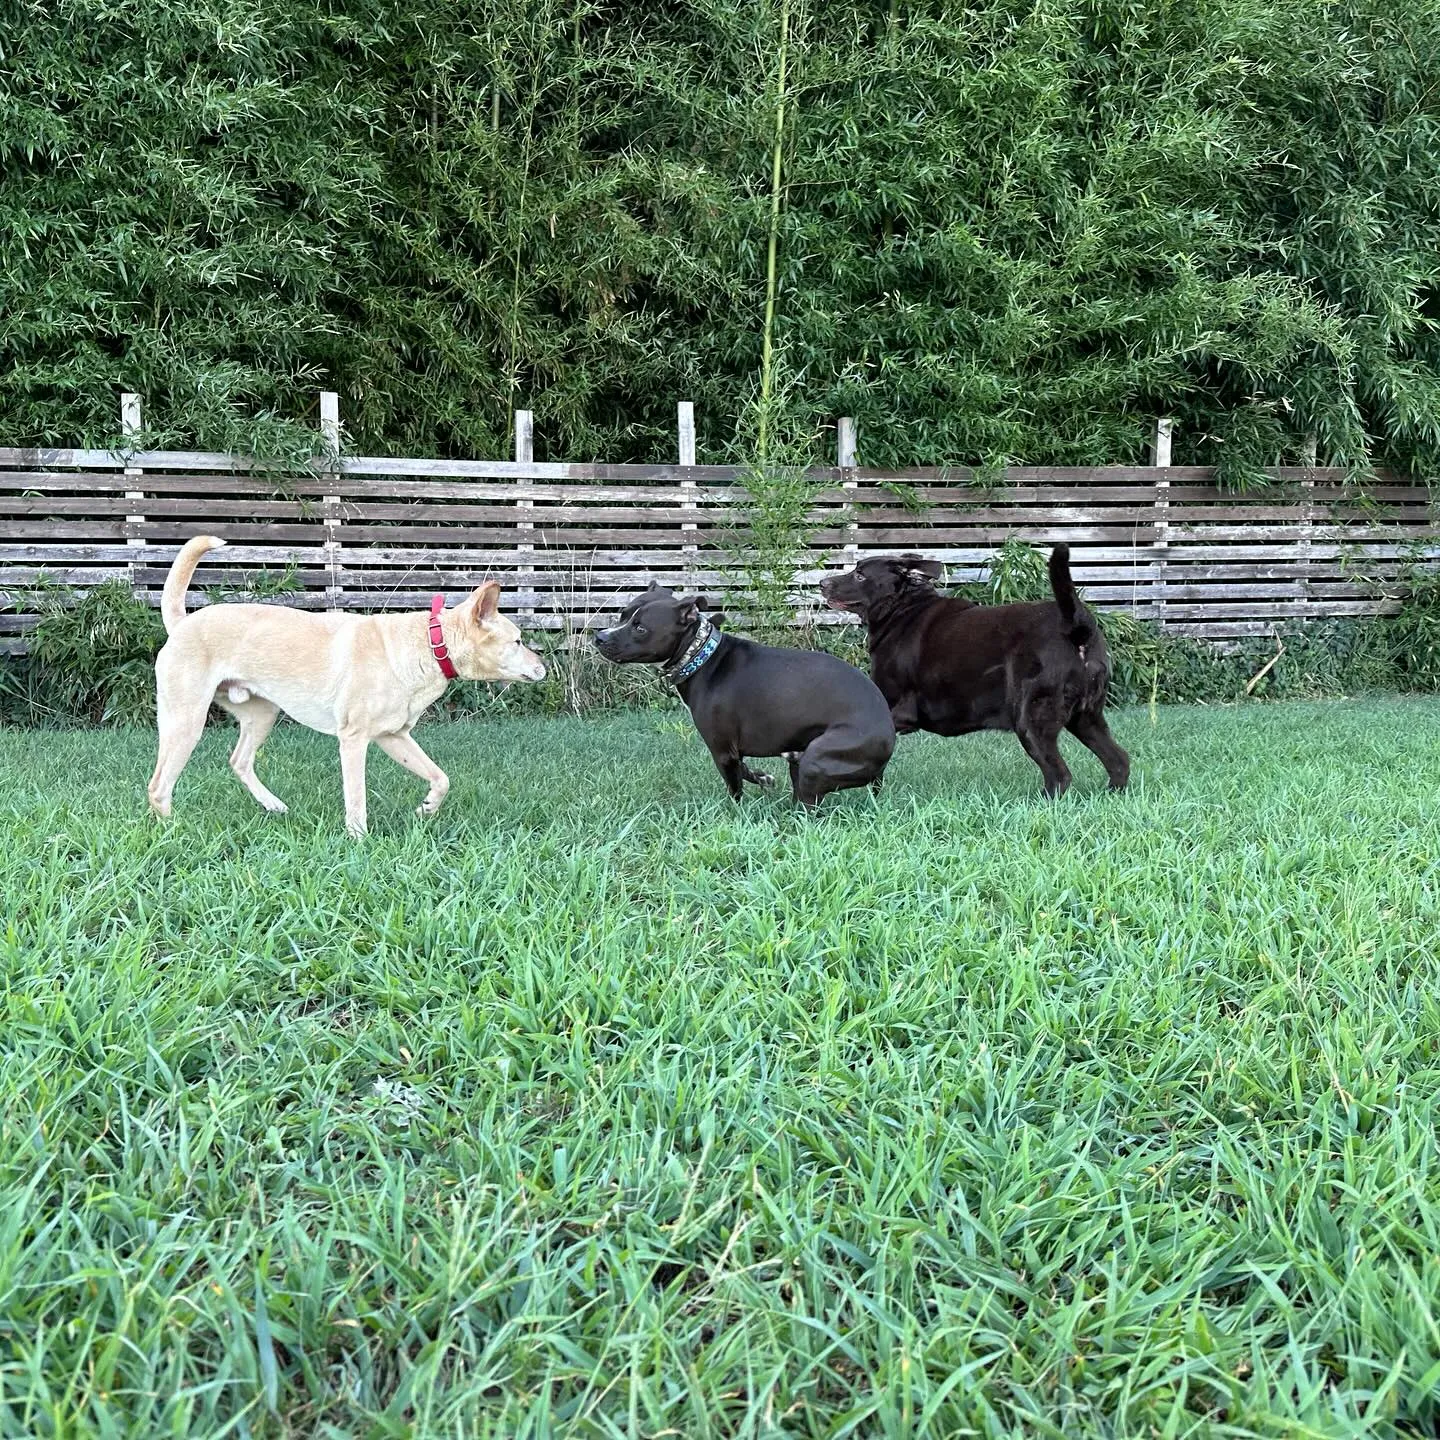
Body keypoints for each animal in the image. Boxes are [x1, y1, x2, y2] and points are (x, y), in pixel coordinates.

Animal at [149, 538, 544, 835]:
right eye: (518, 641)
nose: (543, 667)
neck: (430, 643)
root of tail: (182, 623)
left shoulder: (394, 737)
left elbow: (441, 778)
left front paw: (426, 809)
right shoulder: (353, 740)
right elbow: (356, 798)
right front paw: (359, 840)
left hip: (261, 715)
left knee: (239, 761)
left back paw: (273, 805)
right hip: (186, 723)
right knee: (159, 786)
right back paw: (172, 830)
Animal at [590, 584, 892, 812]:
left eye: (640, 628)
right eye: (622, 615)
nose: (600, 637)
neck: (700, 655)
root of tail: (888, 735)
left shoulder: (723, 751)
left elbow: (735, 786)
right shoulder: (735, 753)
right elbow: (747, 770)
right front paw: (764, 777)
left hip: (817, 760)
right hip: (804, 761)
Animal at [817, 547, 1128, 800]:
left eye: (860, 574)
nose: (822, 583)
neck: (901, 611)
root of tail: (1076, 627)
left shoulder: (896, 712)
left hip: (1031, 719)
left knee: (1060, 776)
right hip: (1086, 718)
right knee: (1119, 761)